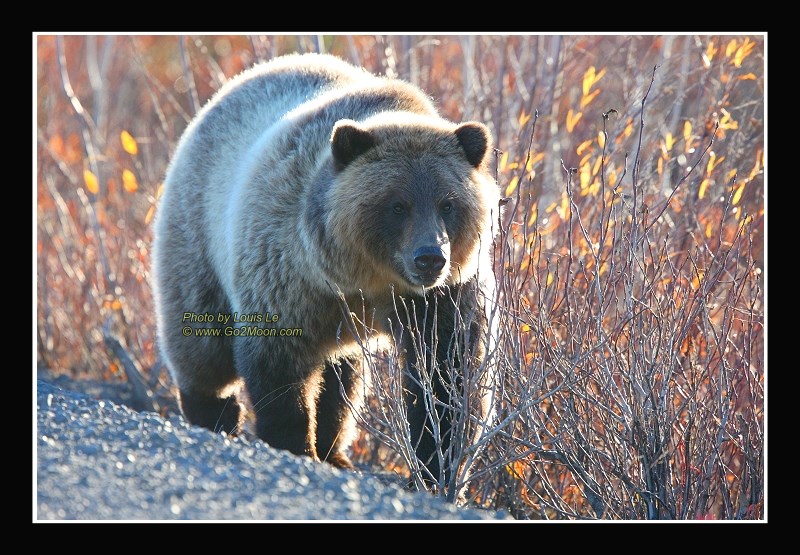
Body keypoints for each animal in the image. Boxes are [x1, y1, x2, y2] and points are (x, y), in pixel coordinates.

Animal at [152, 53, 499, 492]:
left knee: (342, 378)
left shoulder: (443, 297)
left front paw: (435, 469)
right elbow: (277, 363)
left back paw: (335, 450)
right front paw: (293, 444)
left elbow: (447, 374)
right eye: (397, 204)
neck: (364, 277)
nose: (429, 257)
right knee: (201, 344)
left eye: (448, 203)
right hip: (198, 237)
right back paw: (215, 417)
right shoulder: (286, 269)